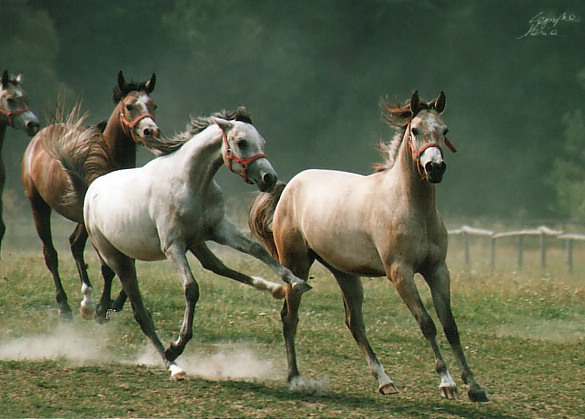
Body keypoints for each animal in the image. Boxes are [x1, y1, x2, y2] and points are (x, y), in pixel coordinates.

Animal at [22, 73, 159, 322]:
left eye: (153, 105)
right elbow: (108, 267)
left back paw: (87, 299)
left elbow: (127, 260)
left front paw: (114, 303)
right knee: (51, 254)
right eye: (129, 106)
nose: (150, 131)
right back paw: (66, 306)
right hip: (38, 205)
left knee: (74, 244)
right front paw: (102, 309)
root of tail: (38, 138)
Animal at [81, 106, 310, 378]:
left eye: (261, 142)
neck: (190, 183)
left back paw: (273, 289)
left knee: (216, 266)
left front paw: (295, 282)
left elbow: (257, 250)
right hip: (119, 258)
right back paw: (171, 363)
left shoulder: (219, 230)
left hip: (196, 243)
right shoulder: (173, 246)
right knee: (140, 312)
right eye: (241, 142)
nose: (269, 178)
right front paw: (177, 345)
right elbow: (191, 289)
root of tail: (93, 189)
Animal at [248, 92, 488, 404]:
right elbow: (427, 323)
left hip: (345, 274)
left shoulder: (437, 271)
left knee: (355, 323)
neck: (410, 207)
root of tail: (289, 187)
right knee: (290, 317)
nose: (435, 168)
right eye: (415, 130)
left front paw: (474, 386)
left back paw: (385, 382)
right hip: (296, 265)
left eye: (444, 131)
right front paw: (447, 383)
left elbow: (450, 326)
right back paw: (295, 379)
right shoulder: (401, 274)